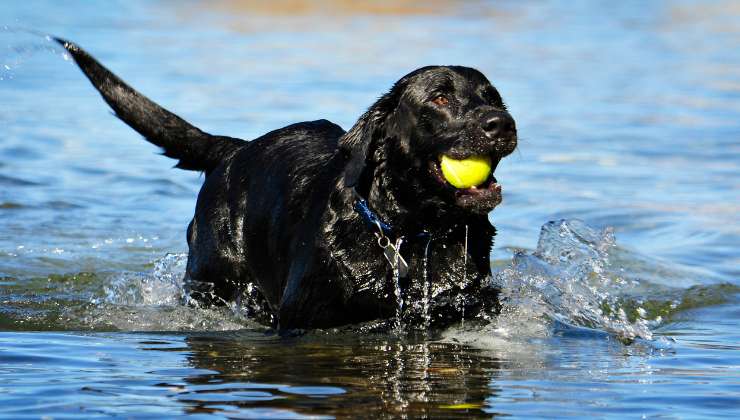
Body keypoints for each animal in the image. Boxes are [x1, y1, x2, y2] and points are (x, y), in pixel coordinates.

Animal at [55, 37, 516, 330]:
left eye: (492, 97)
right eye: (440, 98)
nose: (502, 123)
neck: (412, 232)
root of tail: (236, 149)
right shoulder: (304, 319)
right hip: (211, 278)